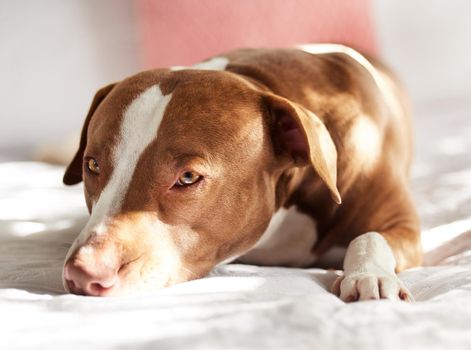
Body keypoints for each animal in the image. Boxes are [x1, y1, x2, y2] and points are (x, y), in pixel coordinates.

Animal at [60, 44, 422, 300]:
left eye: (187, 178)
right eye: (92, 165)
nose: (83, 272)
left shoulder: (402, 224)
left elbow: (369, 237)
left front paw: (369, 276)